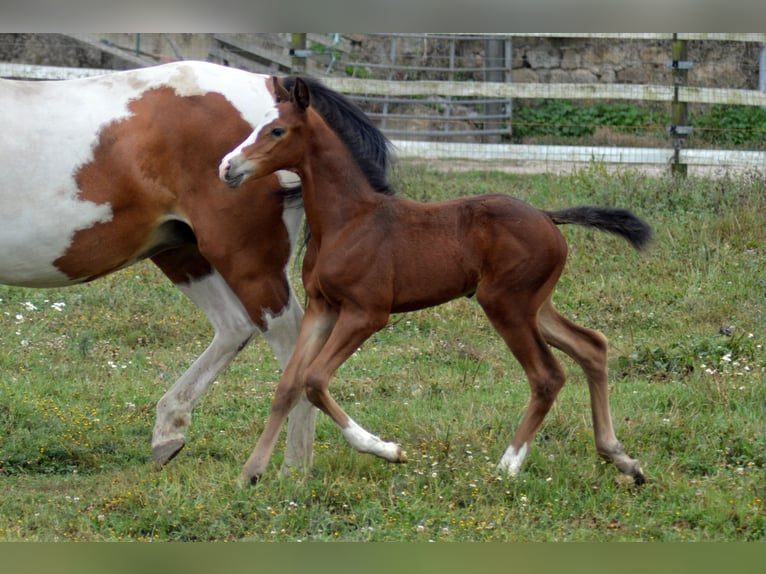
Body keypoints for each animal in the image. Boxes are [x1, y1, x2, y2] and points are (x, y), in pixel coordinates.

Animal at [3, 63, 390, 476]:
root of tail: (275, 85)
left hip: (245, 261)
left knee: (291, 344)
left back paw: (292, 471)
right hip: (185, 254)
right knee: (235, 327)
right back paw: (170, 433)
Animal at [219, 76, 652, 486]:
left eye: (277, 130)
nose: (227, 167)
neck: (348, 221)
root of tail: (548, 217)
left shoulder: (366, 313)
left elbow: (314, 379)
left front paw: (387, 450)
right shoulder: (323, 308)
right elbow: (288, 385)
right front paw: (250, 473)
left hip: (505, 304)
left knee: (547, 375)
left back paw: (508, 465)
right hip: (535, 306)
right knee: (592, 346)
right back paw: (622, 458)